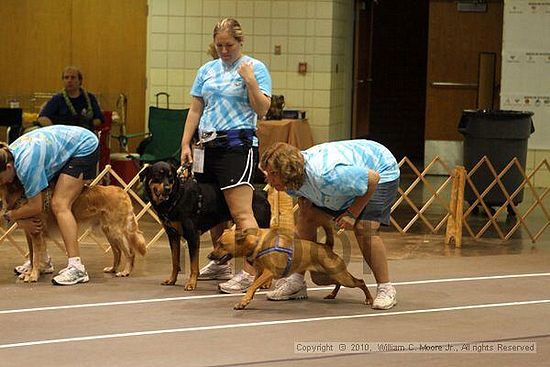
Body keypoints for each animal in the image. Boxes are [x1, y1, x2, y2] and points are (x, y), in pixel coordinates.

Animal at [140, 161, 272, 290]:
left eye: (171, 177)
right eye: (158, 175)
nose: (167, 188)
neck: (176, 197)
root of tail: (263, 194)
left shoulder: (192, 235)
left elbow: (193, 264)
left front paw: (191, 283)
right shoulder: (172, 235)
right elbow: (175, 261)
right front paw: (172, 280)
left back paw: (265, 282)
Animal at [208, 227, 376, 310]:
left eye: (221, 244)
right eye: (217, 243)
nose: (210, 256)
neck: (256, 243)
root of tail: (326, 247)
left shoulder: (269, 272)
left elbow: (253, 286)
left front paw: (243, 302)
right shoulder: (260, 273)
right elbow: (253, 286)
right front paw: (246, 299)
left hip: (340, 275)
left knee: (360, 282)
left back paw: (369, 299)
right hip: (323, 277)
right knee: (338, 283)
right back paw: (332, 294)